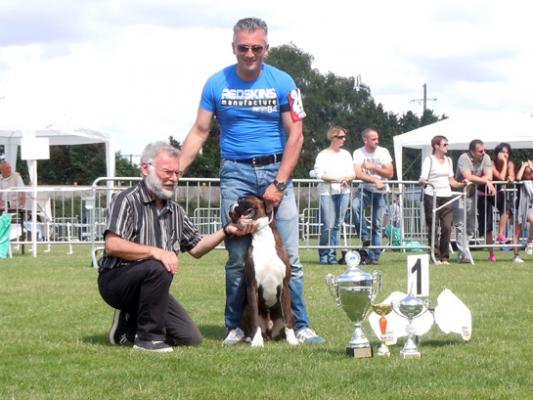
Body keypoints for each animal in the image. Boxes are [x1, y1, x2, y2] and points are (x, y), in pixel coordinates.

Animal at [227, 195, 298, 346]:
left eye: (243, 199)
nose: (230, 207)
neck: (262, 236)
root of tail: (270, 333)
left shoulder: (284, 286)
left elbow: (287, 318)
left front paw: (292, 339)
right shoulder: (252, 286)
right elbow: (255, 319)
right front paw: (257, 341)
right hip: (245, 310)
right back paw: (250, 338)